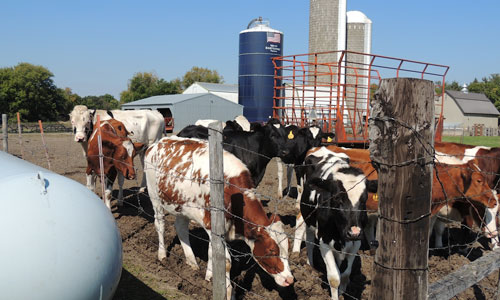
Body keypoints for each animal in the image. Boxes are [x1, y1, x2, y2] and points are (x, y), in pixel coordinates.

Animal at [144, 137, 292, 300]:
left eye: (287, 248)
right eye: (271, 251)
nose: (289, 280)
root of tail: (158, 142)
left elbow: (212, 251)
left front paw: (210, 277)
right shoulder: (211, 223)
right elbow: (226, 261)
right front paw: (227, 292)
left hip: (182, 206)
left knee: (181, 227)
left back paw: (191, 261)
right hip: (154, 196)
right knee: (160, 224)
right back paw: (162, 255)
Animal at [298, 146, 376, 298]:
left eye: (364, 200)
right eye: (337, 198)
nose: (353, 232)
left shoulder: (356, 242)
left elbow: (345, 275)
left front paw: (343, 292)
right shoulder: (324, 241)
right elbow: (334, 278)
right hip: (307, 217)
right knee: (309, 240)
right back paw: (310, 265)